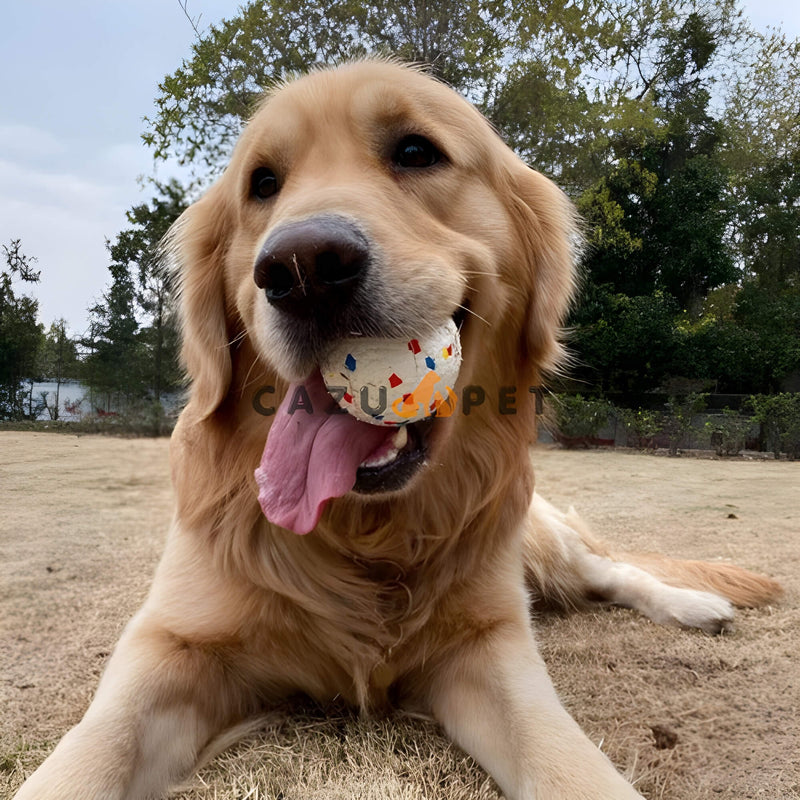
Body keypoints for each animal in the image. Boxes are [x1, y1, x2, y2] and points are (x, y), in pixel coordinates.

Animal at [15, 61, 780, 800]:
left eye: (416, 151)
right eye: (262, 183)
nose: (301, 267)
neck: (364, 533)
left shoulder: (490, 644)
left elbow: (569, 762)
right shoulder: (170, 642)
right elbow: (92, 749)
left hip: (537, 540)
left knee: (612, 571)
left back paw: (696, 605)